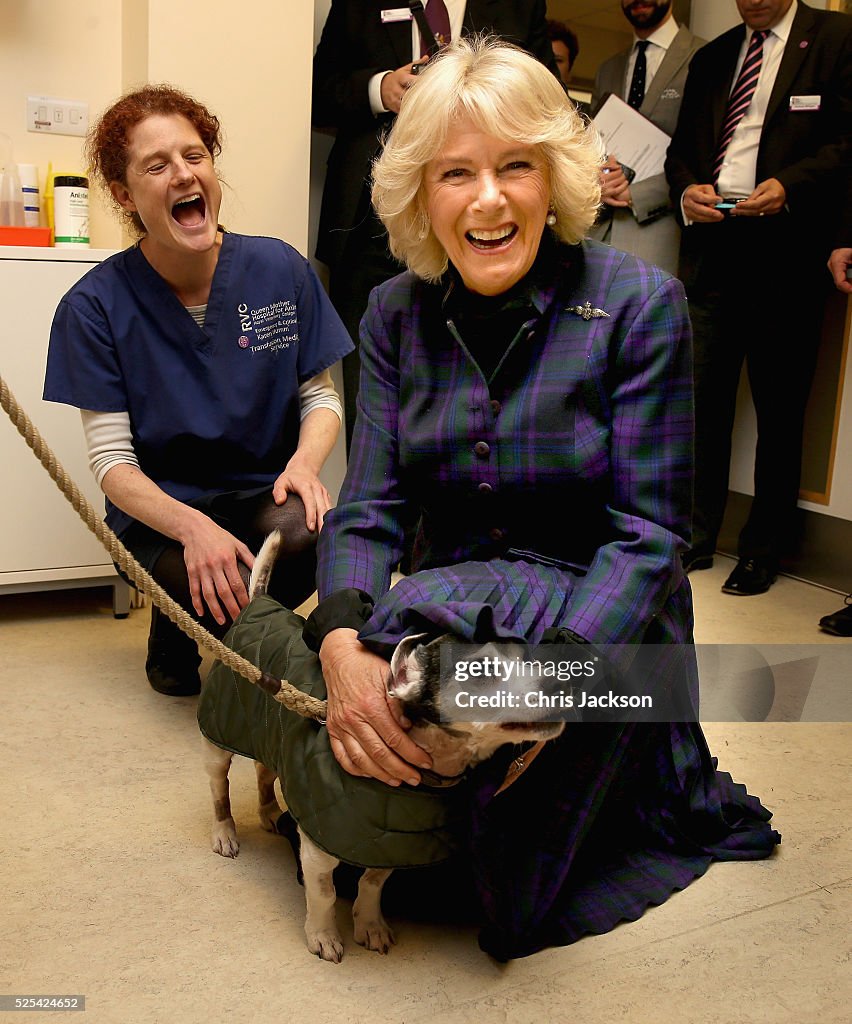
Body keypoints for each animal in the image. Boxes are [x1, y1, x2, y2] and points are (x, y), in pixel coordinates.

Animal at [201, 532, 565, 962]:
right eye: (483, 669)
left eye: (528, 658)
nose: (563, 680)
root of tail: (260, 603)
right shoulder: (319, 848)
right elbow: (324, 894)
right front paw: (323, 933)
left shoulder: (390, 847)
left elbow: (372, 884)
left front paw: (370, 923)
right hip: (218, 741)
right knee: (219, 789)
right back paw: (225, 831)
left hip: (265, 731)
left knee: (263, 771)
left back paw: (270, 812)